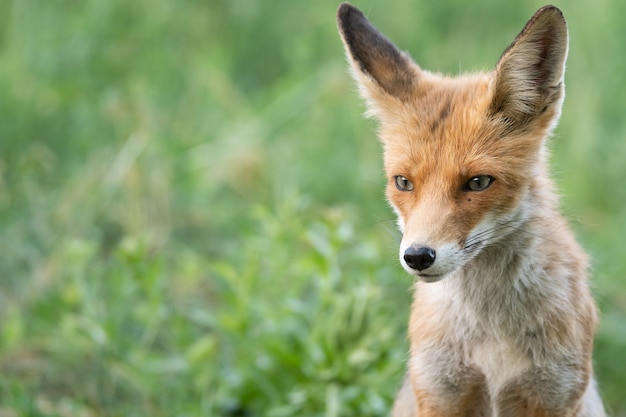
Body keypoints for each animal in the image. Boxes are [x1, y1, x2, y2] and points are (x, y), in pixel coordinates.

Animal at [336, 3, 604, 416]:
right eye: (403, 182)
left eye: (478, 183)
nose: (417, 256)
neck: (492, 337)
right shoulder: (441, 389)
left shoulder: (553, 392)